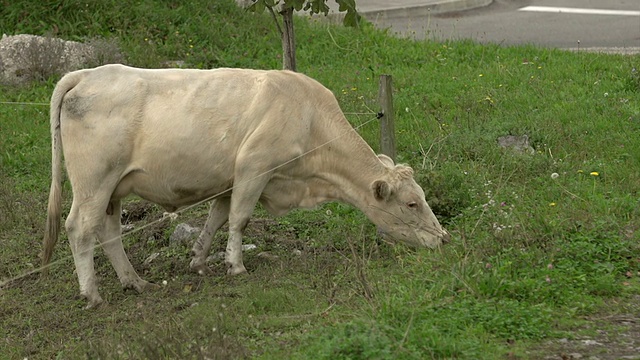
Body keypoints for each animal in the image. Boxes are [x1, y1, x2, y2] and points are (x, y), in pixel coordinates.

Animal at [41, 64, 450, 306]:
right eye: (412, 204)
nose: (443, 238)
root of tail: (87, 73)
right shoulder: (255, 166)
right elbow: (240, 219)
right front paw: (235, 265)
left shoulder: (228, 179)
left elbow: (216, 218)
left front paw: (199, 259)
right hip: (94, 181)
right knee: (80, 229)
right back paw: (92, 293)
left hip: (114, 187)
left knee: (109, 232)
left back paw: (134, 282)